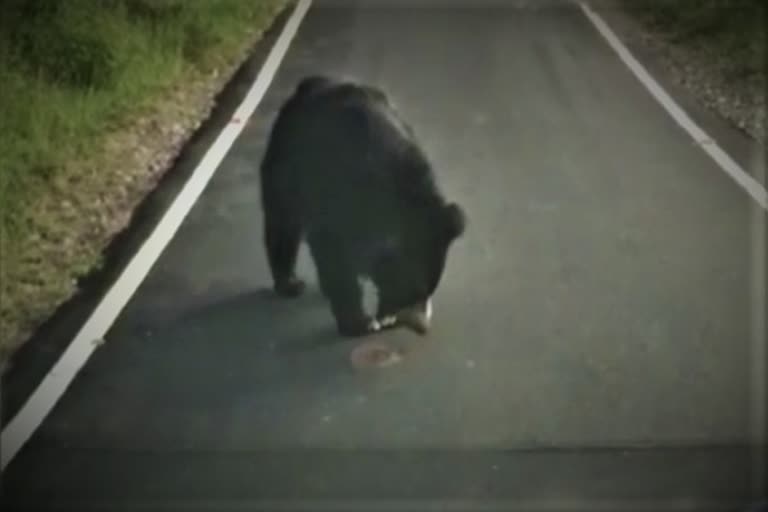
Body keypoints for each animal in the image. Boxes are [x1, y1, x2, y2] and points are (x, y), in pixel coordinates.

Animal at [258, 75, 464, 336]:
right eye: (411, 291)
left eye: (430, 289)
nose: (421, 326)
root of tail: (308, 84)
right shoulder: (334, 195)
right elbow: (333, 253)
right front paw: (359, 322)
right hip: (285, 164)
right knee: (283, 223)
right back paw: (289, 283)